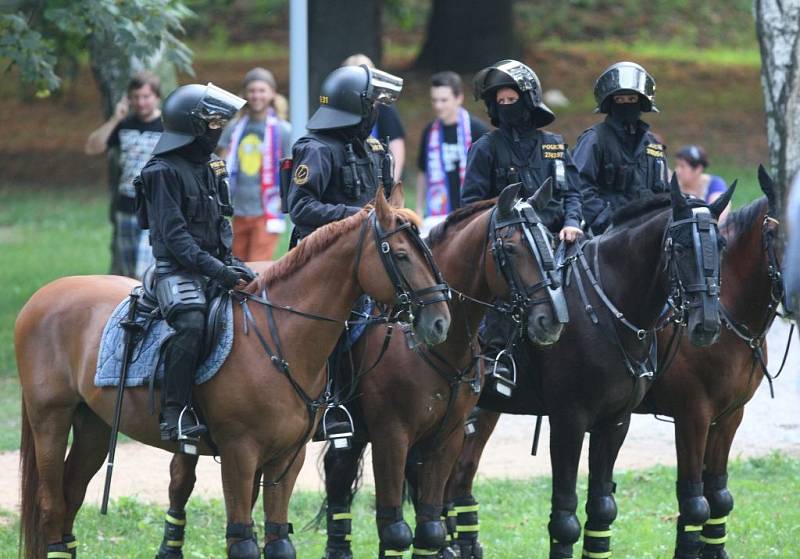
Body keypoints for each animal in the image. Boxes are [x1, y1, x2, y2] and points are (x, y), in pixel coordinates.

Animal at [15, 186, 450, 556]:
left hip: (93, 425)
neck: (280, 337)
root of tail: (41, 297)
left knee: (70, 499)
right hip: (50, 421)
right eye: (401, 254)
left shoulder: (286, 459)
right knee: (52, 506)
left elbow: (278, 542)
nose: (440, 322)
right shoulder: (240, 455)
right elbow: (241, 541)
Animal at [318, 182, 568, 559]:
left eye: (550, 242)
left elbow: (430, 526)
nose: (551, 320)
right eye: (510, 247)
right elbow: (394, 529)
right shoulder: (391, 436)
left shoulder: (447, 437)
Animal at [440, 178, 736, 559]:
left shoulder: (616, 423)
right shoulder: (569, 421)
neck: (604, 307)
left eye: (722, 245)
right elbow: (565, 517)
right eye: (683, 246)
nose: (707, 324)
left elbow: (601, 508)